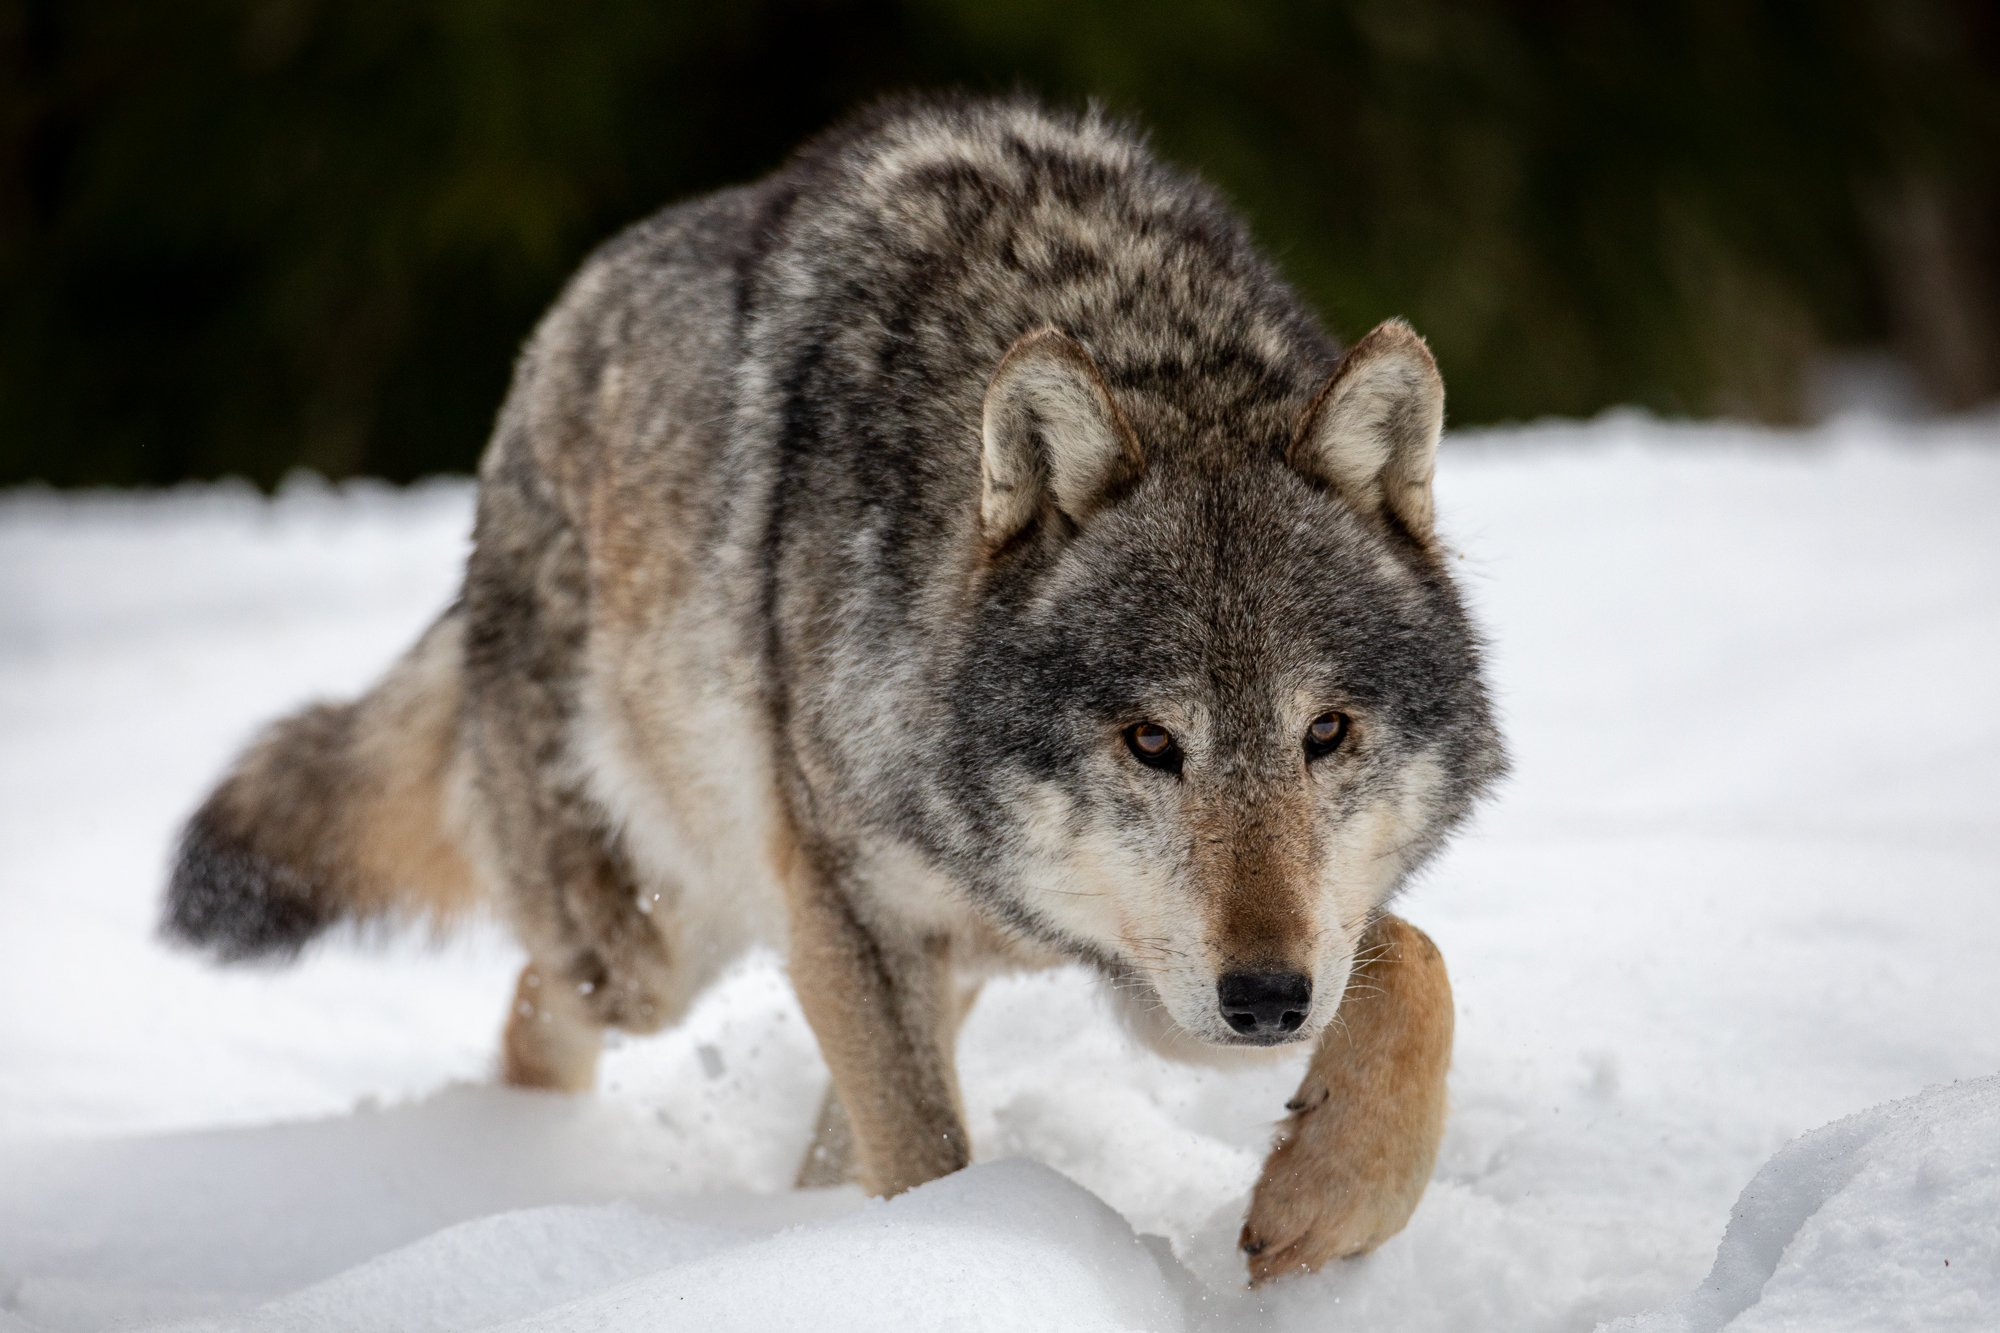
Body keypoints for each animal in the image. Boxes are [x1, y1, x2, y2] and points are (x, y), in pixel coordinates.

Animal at [160, 93, 1504, 1280]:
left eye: (1324, 731)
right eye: (1149, 742)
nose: (1268, 1002)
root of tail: (545, 359)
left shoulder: (1190, 969)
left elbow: (1416, 959)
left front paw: (1330, 1202)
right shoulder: (854, 917)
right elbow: (928, 1164)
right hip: (654, 940)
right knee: (540, 1002)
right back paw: (510, 1170)